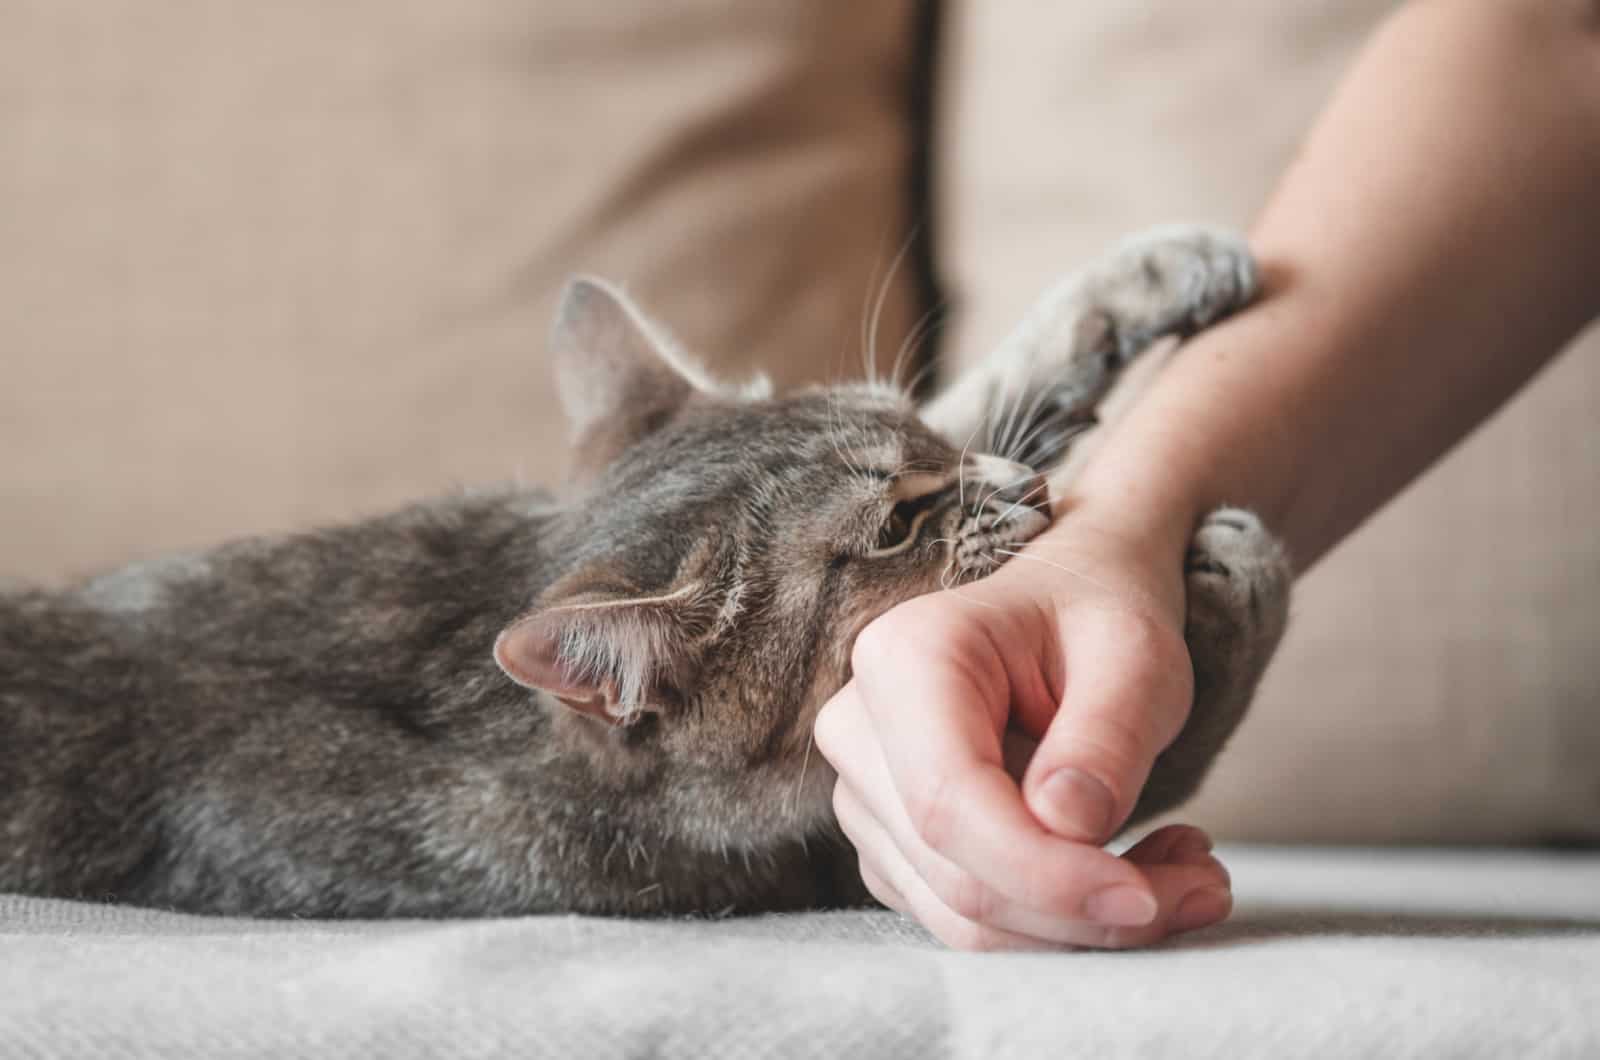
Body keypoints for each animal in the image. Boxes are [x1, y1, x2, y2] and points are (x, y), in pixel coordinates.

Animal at [0, 225, 1286, 922]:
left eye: (920, 444)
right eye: (890, 531)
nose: (1024, 493)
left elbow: (996, 386)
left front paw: (1146, 276)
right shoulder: (822, 858)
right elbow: (1167, 743)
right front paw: (1236, 588)